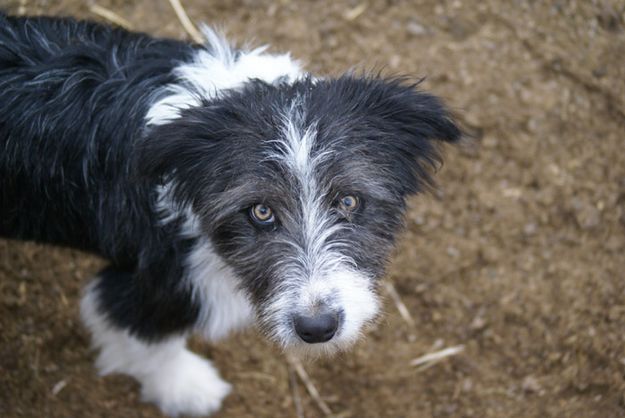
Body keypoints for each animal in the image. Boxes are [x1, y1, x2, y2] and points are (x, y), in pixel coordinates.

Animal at [0, 13, 458, 418]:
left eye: (348, 201)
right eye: (260, 211)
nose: (317, 328)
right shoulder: (158, 283)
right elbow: (148, 339)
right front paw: (186, 389)